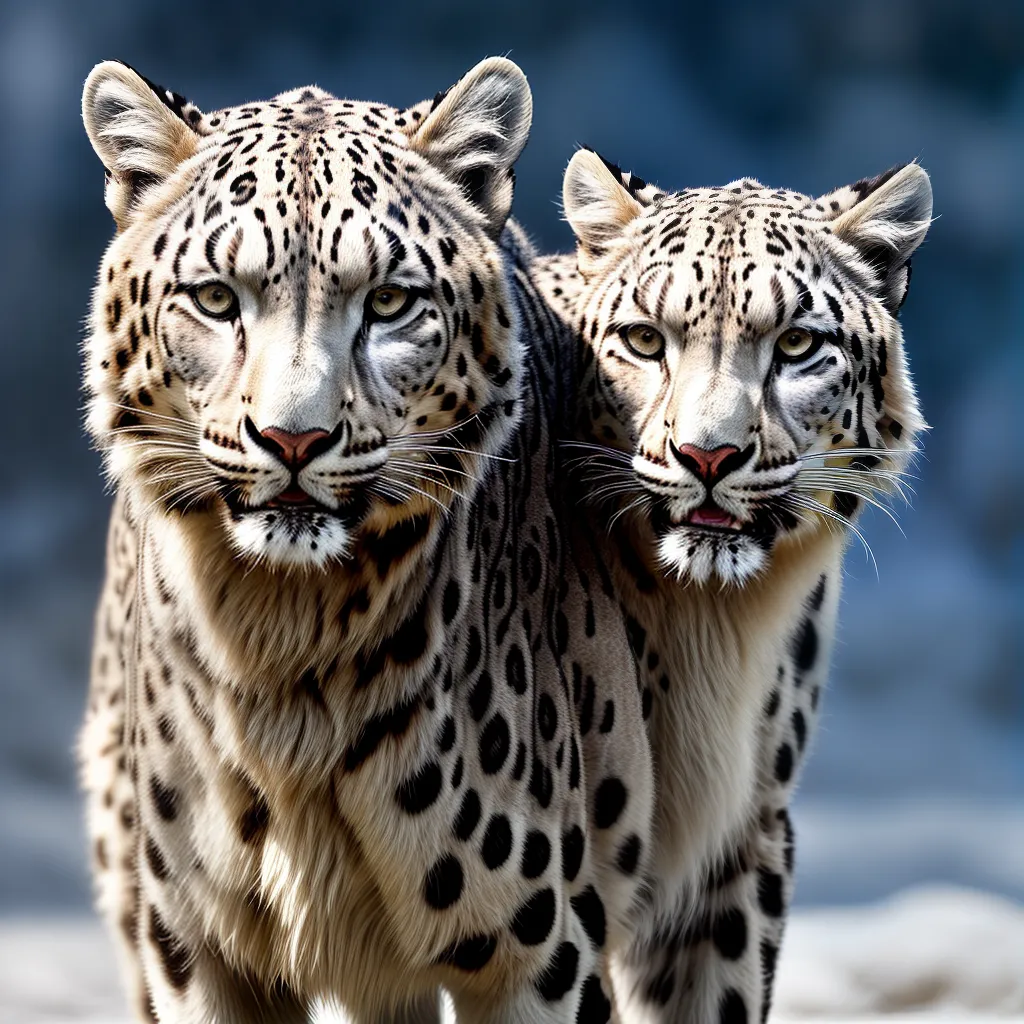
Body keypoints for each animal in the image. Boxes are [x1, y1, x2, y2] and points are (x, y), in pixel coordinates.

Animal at [77, 59, 655, 1023]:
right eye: (215, 299)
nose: (294, 439)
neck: (281, 642)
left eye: (388, 302)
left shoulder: (536, 948)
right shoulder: (196, 949)